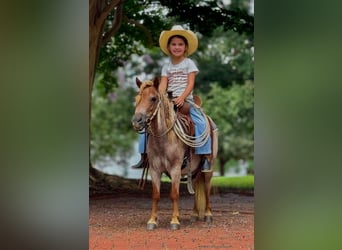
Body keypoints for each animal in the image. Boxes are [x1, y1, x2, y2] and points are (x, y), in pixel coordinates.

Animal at [132, 77, 218, 230]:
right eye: (137, 98)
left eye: (153, 98)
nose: (137, 121)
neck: (163, 140)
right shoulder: (154, 170)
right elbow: (156, 195)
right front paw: (152, 221)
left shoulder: (175, 169)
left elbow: (174, 194)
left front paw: (174, 221)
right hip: (194, 170)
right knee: (195, 188)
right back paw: (194, 215)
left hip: (209, 168)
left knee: (207, 189)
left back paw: (208, 215)